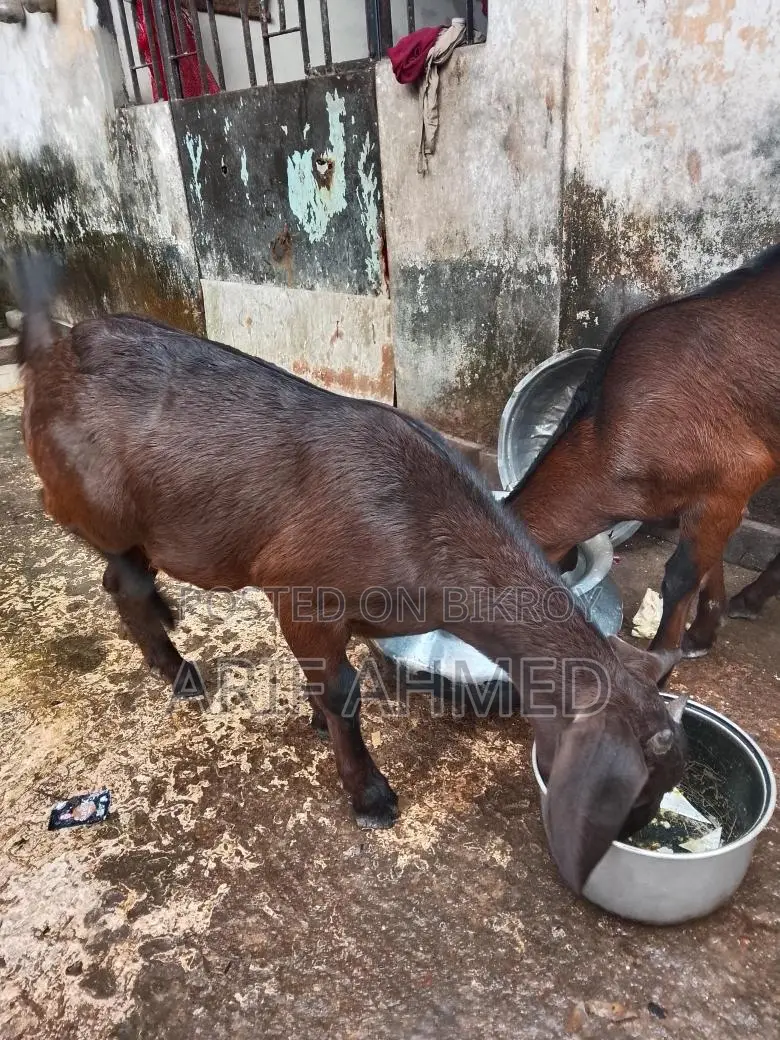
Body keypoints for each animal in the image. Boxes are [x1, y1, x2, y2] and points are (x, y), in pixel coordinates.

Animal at [12, 252, 685, 896]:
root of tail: (51, 352)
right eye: (634, 794)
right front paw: (370, 793)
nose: (635, 836)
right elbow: (343, 691)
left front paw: (318, 722)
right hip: (92, 498)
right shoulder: (299, 590)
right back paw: (177, 666)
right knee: (108, 562)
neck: (420, 527)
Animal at [506, 244, 780, 662]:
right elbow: (709, 563)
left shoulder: (733, 479)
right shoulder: (712, 501)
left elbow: (681, 576)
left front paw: (663, 658)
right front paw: (702, 634)